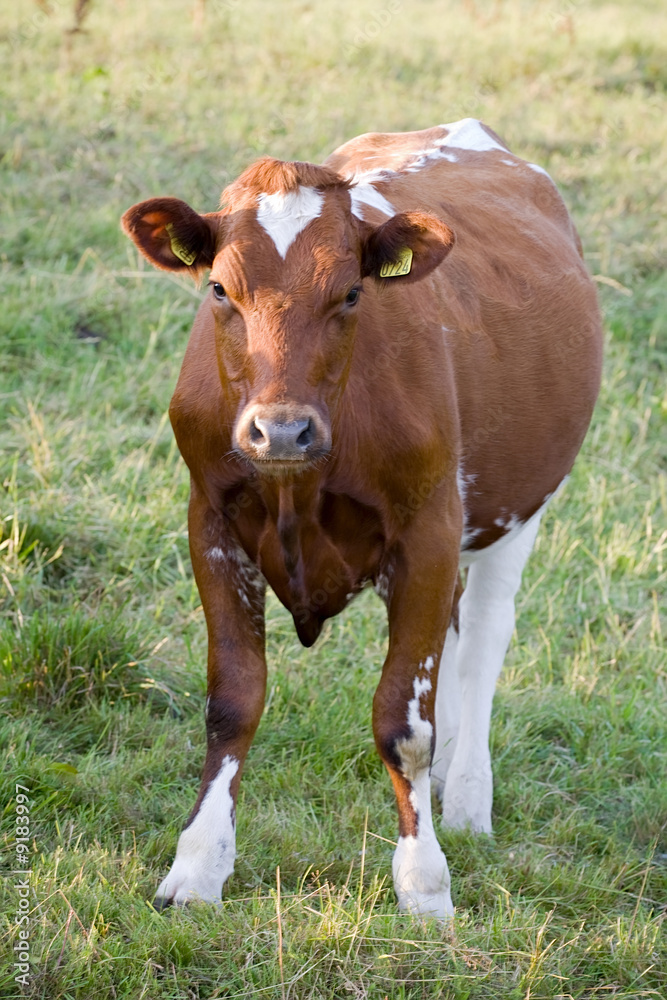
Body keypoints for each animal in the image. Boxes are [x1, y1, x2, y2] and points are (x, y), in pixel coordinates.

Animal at [122, 119, 604, 920]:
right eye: (220, 288)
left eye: (350, 293)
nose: (281, 431)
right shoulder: (211, 527)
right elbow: (232, 702)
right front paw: (196, 868)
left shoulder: (429, 534)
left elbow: (403, 724)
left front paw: (424, 881)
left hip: (518, 508)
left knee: (482, 642)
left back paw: (465, 800)